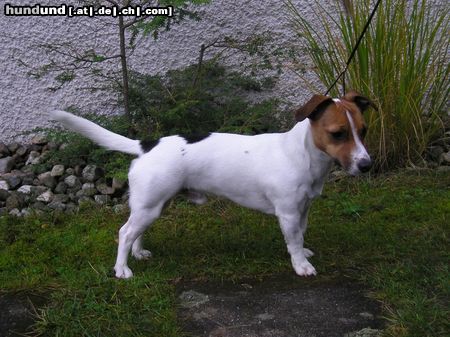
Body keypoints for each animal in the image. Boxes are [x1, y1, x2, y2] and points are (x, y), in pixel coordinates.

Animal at [50, 90, 376, 276]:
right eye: (337, 134)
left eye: (363, 130)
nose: (366, 165)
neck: (303, 153)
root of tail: (147, 145)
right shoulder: (288, 213)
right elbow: (293, 240)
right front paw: (300, 265)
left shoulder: (303, 209)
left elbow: (302, 235)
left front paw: (303, 253)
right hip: (150, 206)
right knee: (124, 232)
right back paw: (122, 269)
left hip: (153, 205)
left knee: (135, 232)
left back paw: (138, 254)